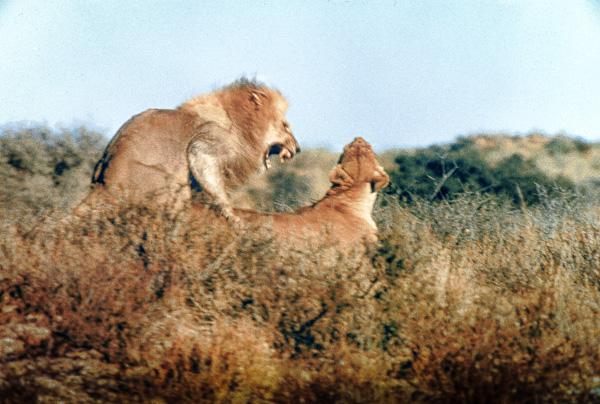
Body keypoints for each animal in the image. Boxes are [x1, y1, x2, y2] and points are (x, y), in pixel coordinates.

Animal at [85, 79, 300, 221]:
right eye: (285, 126)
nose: (297, 148)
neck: (240, 126)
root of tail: (104, 183)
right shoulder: (206, 145)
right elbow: (213, 181)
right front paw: (232, 216)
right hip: (169, 185)